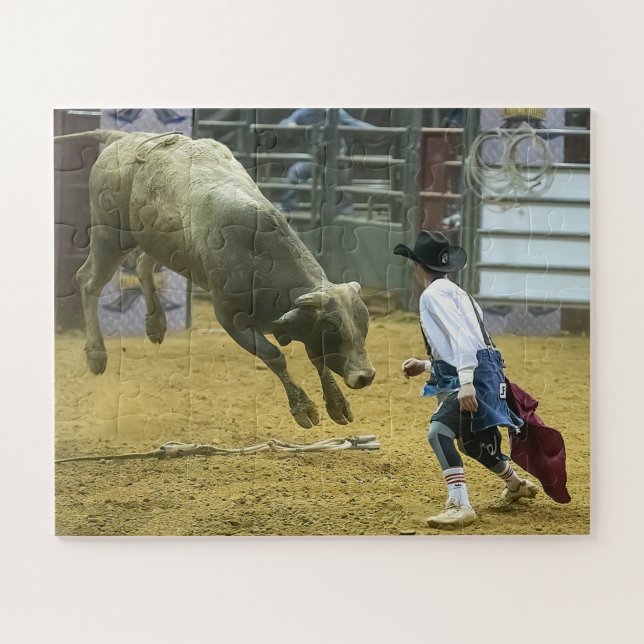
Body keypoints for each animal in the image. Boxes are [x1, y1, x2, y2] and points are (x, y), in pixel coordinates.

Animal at [54, 129, 376, 428]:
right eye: (333, 330)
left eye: (363, 325)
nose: (365, 376)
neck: (257, 255)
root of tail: (123, 137)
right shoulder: (230, 318)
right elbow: (274, 355)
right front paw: (303, 409)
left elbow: (317, 359)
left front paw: (337, 404)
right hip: (110, 235)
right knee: (88, 281)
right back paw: (96, 354)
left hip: (158, 242)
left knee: (144, 264)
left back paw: (156, 324)